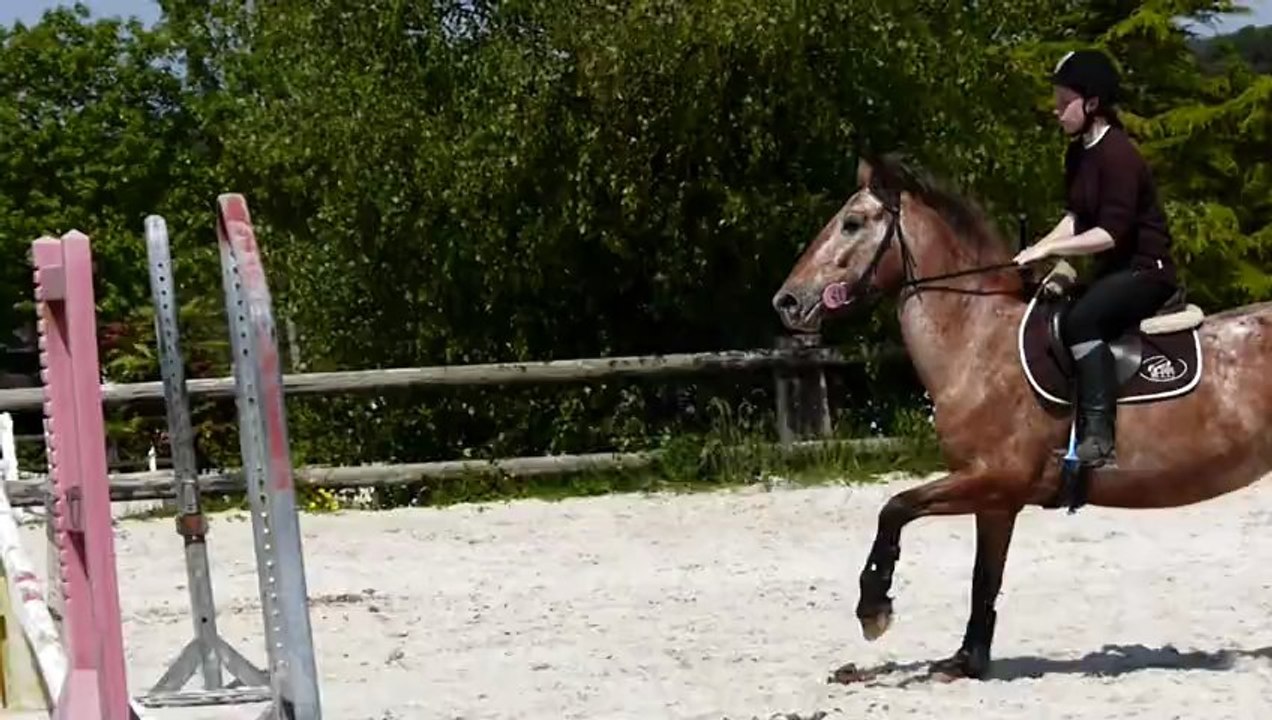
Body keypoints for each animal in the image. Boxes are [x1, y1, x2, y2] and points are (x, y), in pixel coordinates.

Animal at [770, 152, 1272, 682]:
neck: (976, 342)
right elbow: (983, 577)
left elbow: (896, 508)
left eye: (852, 223)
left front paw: (874, 610)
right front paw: (965, 660)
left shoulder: (996, 477)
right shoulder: (996, 498)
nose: (787, 301)